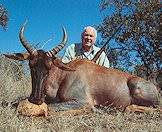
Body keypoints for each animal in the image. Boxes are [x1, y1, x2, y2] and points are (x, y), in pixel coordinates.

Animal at [3, 24, 161, 115]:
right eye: (31, 65)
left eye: (49, 67)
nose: (35, 98)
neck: (65, 74)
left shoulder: (82, 101)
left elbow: (51, 107)